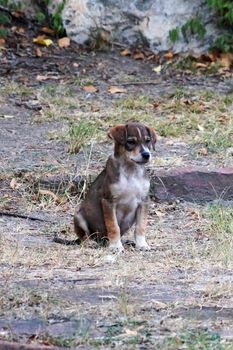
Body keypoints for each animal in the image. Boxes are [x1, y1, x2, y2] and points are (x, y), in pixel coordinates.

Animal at [73, 121, 157, 250]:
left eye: (148, 140)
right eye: (131, 141)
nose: (146, 155)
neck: (130, 171)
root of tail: (100, 240)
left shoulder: (144, 201)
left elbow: (140, 226)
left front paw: (142, 244)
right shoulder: (108, 201)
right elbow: (113, 226)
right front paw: (116, 246)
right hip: (78, 216)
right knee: (84, 236)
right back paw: (90, 243)